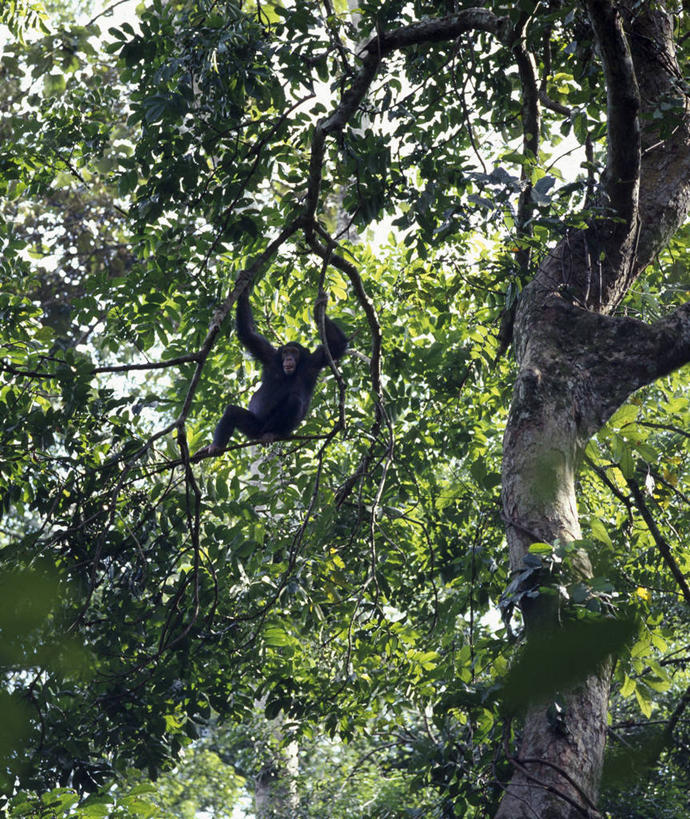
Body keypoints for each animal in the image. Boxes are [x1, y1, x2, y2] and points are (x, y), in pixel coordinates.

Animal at [204, 286, 344, 454]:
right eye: (286, 352)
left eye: (294, 352)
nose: (289, 358)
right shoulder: (269, 356)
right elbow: (248, 334)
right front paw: (245, 289)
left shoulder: (314, 362)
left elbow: (336, 346)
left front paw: (318, 309)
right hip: (253, 427)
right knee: (232, 412)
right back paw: (216, 446)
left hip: (276, 428)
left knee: (294, 401)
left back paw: (272, 433)